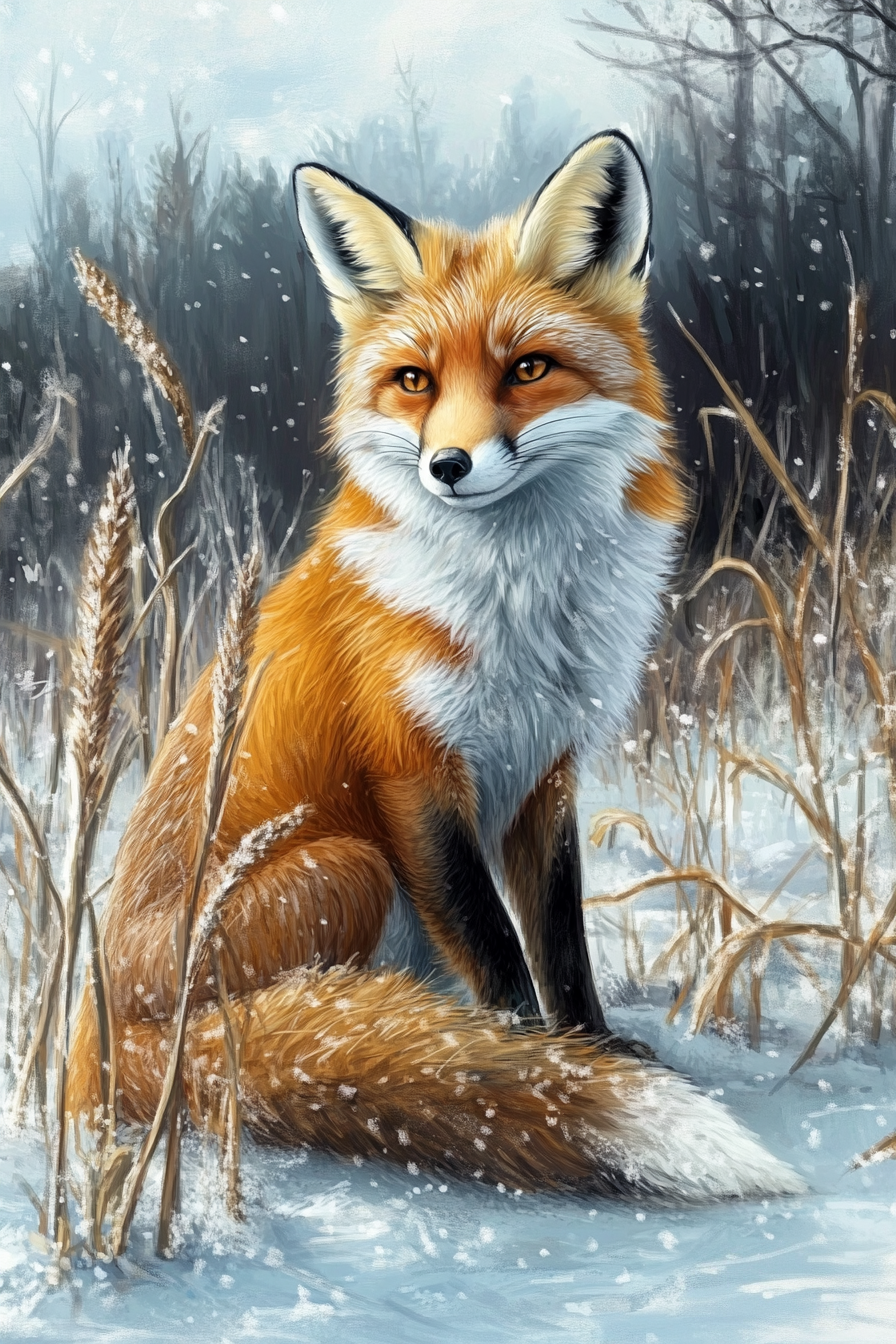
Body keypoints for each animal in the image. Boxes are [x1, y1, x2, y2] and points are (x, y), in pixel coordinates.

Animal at [69, 131, 806, 1202]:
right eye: (415, 381)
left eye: (528, 369)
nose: (447, 467)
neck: (521, 608)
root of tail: (98, 1033)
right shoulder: (413, 770)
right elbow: (498, 952)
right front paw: (538, 1066)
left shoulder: (546, 769)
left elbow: (559, 938)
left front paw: (591, 1050)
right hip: (349, 865)